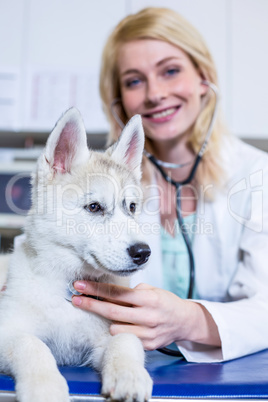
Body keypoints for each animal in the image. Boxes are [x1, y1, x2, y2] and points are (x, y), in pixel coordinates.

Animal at [0, 108, 152, 400]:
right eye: (94, 207)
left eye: (131, 207)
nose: (143, 252)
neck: (69, 287)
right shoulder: (8, 331)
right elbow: (32, 346)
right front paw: (45, 388)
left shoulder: (110, 332)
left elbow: (127, 342)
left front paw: (129, 376)